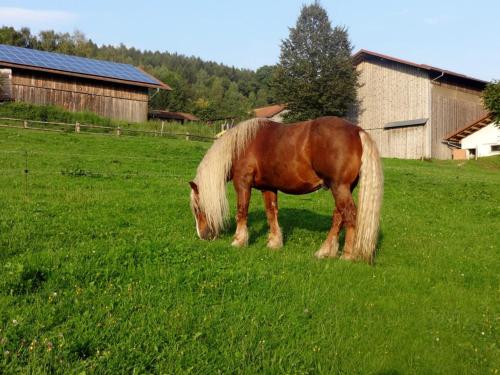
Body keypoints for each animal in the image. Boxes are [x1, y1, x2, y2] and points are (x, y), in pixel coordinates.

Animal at [189, 117, 384, 264]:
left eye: (197, 208)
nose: (203, 236)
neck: (241, 145)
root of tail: (357, 131)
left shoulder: (243, 183)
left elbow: (242, 211)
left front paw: (239, 240)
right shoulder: (268, 187)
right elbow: (271, 212)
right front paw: (274, 243)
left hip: (340, 187)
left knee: (349, 215)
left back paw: (347, 255)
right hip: (342, 188)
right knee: (338, 217)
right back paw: (325, 251)